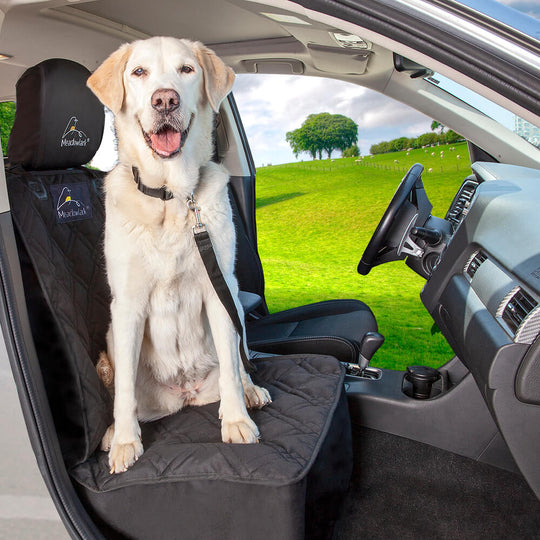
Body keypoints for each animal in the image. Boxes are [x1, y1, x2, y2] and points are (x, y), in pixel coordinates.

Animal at [89, 37, 274, 472]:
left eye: (187, 70)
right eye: (139, 72)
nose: (165, 100)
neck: (172, 196)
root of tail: (185, 392)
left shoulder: (219, 291)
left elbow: (231, 364)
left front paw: (237, 421)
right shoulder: (127, 305)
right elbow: (124, 392)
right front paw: (125, 443)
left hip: (234, 304)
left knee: (237, 360)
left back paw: (250, 390)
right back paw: (111, 433)